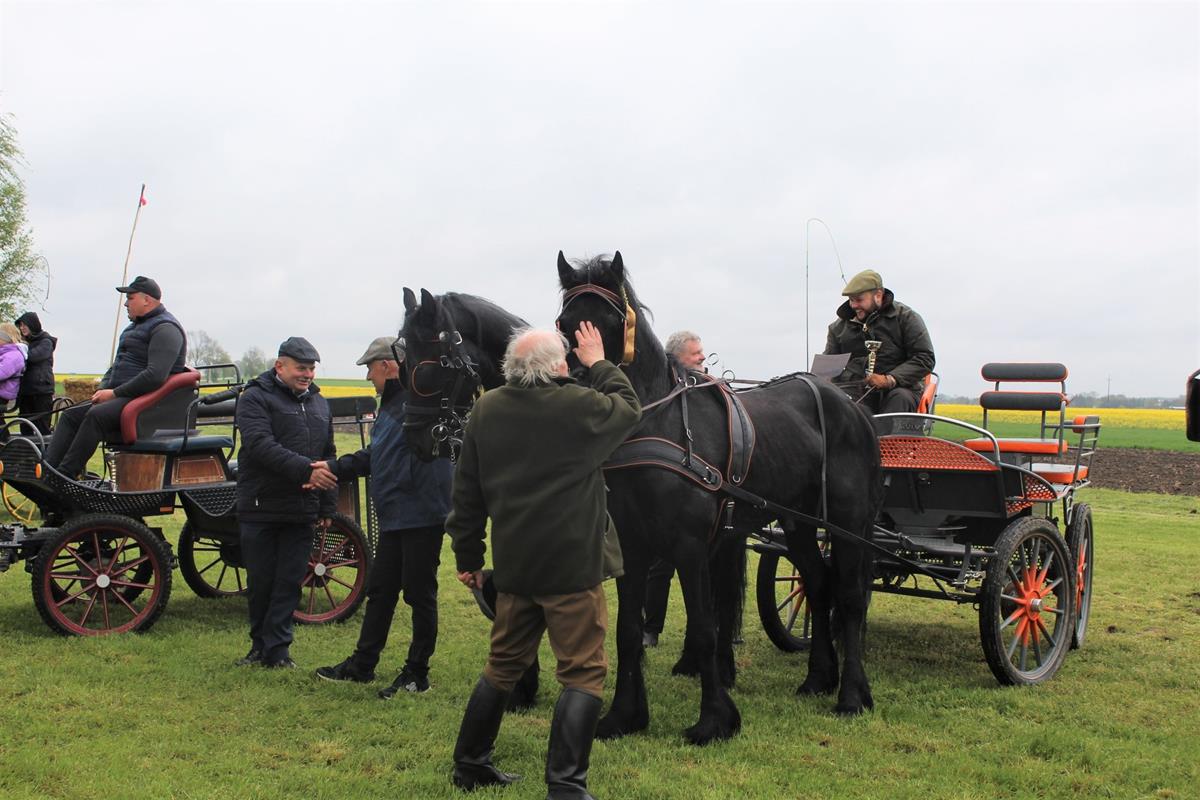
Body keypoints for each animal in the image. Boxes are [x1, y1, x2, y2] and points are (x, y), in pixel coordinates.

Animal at [555, 251, 883, 744]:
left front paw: (714, 720)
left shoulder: (690, 546)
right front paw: (624, 716)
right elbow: (628, 630)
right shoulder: (632, 546)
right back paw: (818, 678)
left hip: (847, 522)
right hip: (798, 523)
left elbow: (707, 627)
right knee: (817, 582)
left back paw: (851, 695)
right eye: (563, 322)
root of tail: (851, 405)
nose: (576, 384)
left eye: (611, 323)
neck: (660, 424)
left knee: (848, 597)